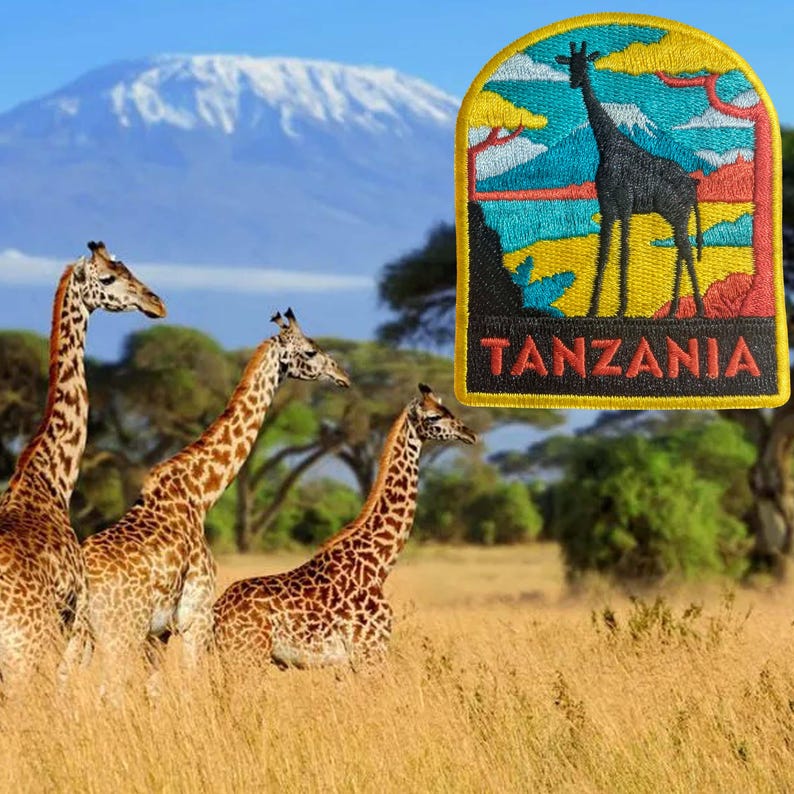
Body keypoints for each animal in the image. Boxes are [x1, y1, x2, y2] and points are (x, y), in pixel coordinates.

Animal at [0, 241, 166, 687]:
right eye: (107, 277)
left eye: (128, 268)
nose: (156, 303)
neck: (51, 478)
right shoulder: (72, 622)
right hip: (25, 651)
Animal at [82, 309, 350, 677]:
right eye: (310, 351)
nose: (342, 376)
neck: (200, 493)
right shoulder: (195, 616)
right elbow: (191, 680)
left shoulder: (160, 632)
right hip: (120, 631)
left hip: (81, 633)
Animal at [213, 384, 477, 670]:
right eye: (433, 417)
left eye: (447, 409)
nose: (469, 434)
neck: (378, 565)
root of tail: (215, 614)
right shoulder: (370, 652)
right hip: (246, 655)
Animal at [555, 41, 704, 318]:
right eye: (569, 64)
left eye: (585, 63)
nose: (574, 82)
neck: (608, 147)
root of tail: (693, 184)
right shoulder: (606, 204)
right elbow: (603, 253)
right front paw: (593, 309)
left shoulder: (625, 202)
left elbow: (624, 251)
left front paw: (621, 309)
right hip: (676, 215)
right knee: (681, 248)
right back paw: (673, 310)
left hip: (678, 213)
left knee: (686, 251)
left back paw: (699, 309)